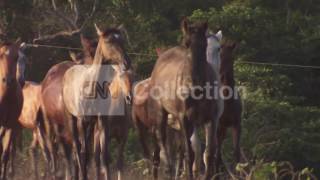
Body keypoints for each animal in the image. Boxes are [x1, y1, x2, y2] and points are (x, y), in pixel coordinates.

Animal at [148, 18, 222, 180]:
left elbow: (209, 153)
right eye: (187, 43)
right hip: (161, 117)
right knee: (161, 149)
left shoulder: (212, 119)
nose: (194, 81)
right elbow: (191, 153)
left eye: (218, 48)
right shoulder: (184, 119)